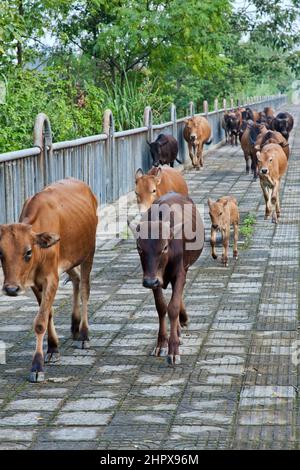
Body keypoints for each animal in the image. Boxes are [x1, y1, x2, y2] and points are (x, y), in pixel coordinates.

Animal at [128, 193, 204, 366]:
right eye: (139, 247)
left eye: (164, 247)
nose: (149, 282)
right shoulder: (154, 278)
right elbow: (161, 307)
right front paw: (162, 344)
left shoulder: (179, 273)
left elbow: (173, 307)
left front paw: (173, 350)